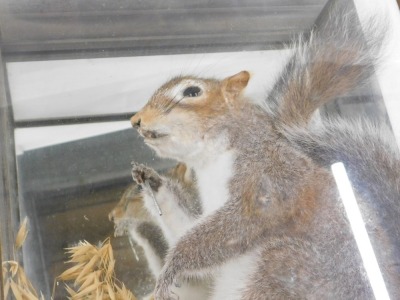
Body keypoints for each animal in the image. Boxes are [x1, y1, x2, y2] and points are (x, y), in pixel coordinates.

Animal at [130, 0, 398, 298]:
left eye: (191, 92)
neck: (214, 159)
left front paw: (172, 266)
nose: (136, 121)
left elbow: (239, 224)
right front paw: (153, 182)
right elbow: (185, 225)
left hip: (285, 267)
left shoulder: (269, 178)